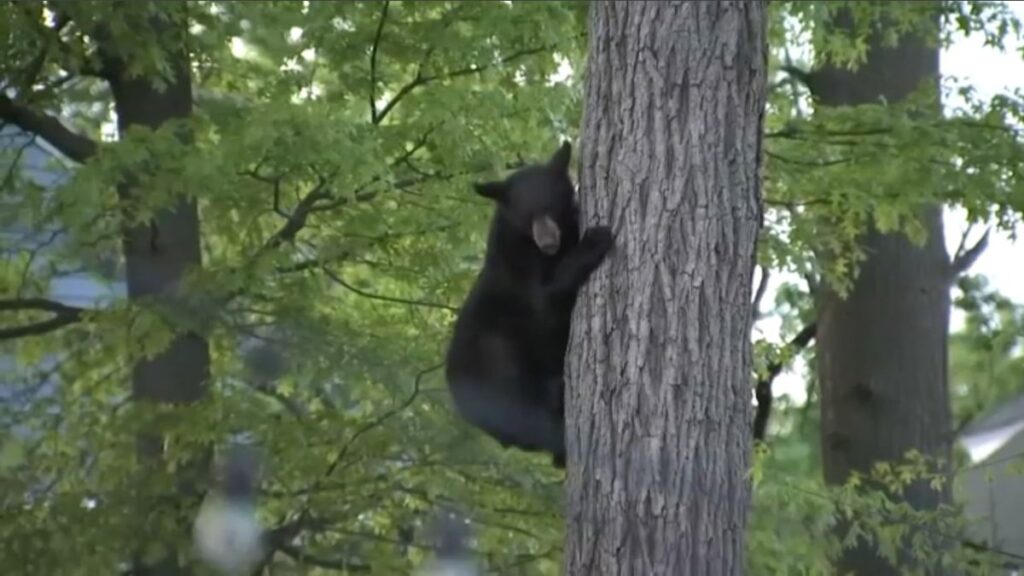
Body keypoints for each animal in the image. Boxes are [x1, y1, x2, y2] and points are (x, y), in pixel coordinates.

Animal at [444, 141, 614, 468]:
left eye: (550, 208)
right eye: (527, 216)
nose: (547, 242)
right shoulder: (518, 268)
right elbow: (545, 298)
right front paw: (596, 240)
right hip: (503, 376)